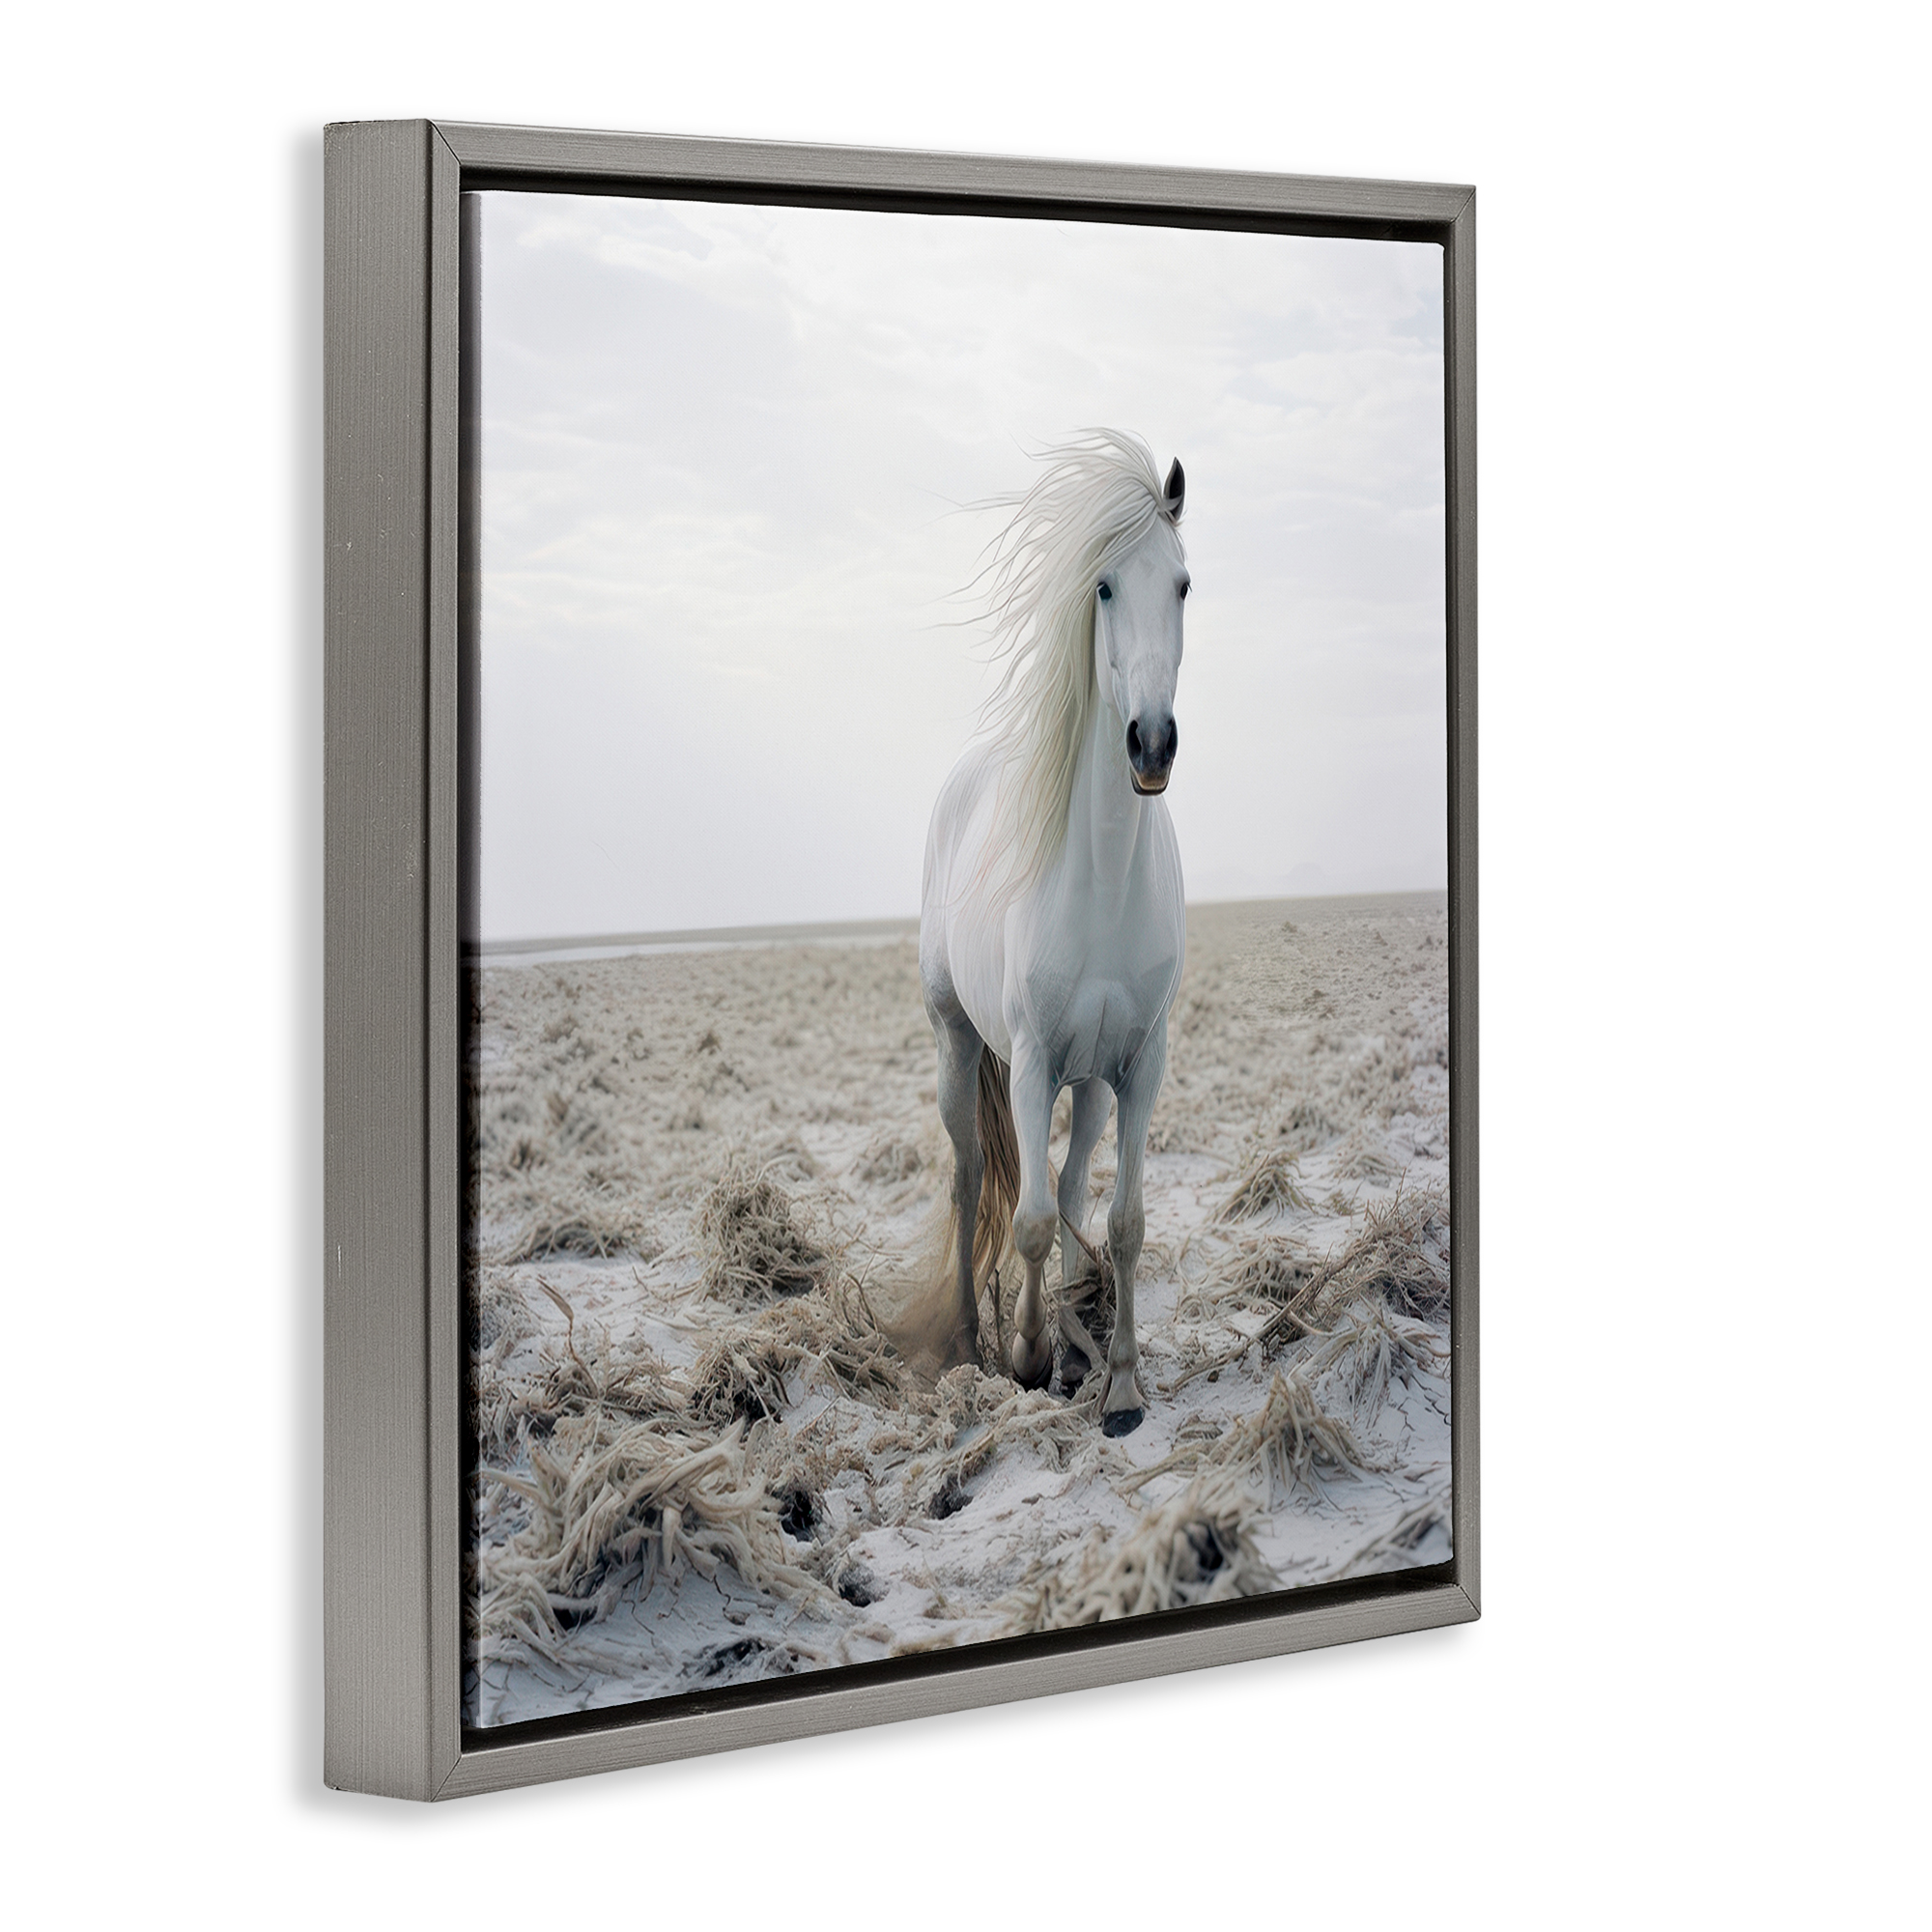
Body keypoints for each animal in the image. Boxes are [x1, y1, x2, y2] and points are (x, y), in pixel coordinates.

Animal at [918, 431, 1188, 1437]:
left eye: (1182, 583)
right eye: (1103, 587)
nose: (1152, 743)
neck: (1104, 879)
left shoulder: (1137, 1064)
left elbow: (1123, 1221)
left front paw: (1118, 1382)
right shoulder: (1032, 1061)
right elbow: (1028, 1219)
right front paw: (1030, 1354)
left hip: (1093, 1081)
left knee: (1071, 1189)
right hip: (960, 1046)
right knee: (972, 1183)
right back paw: (973, 1340)